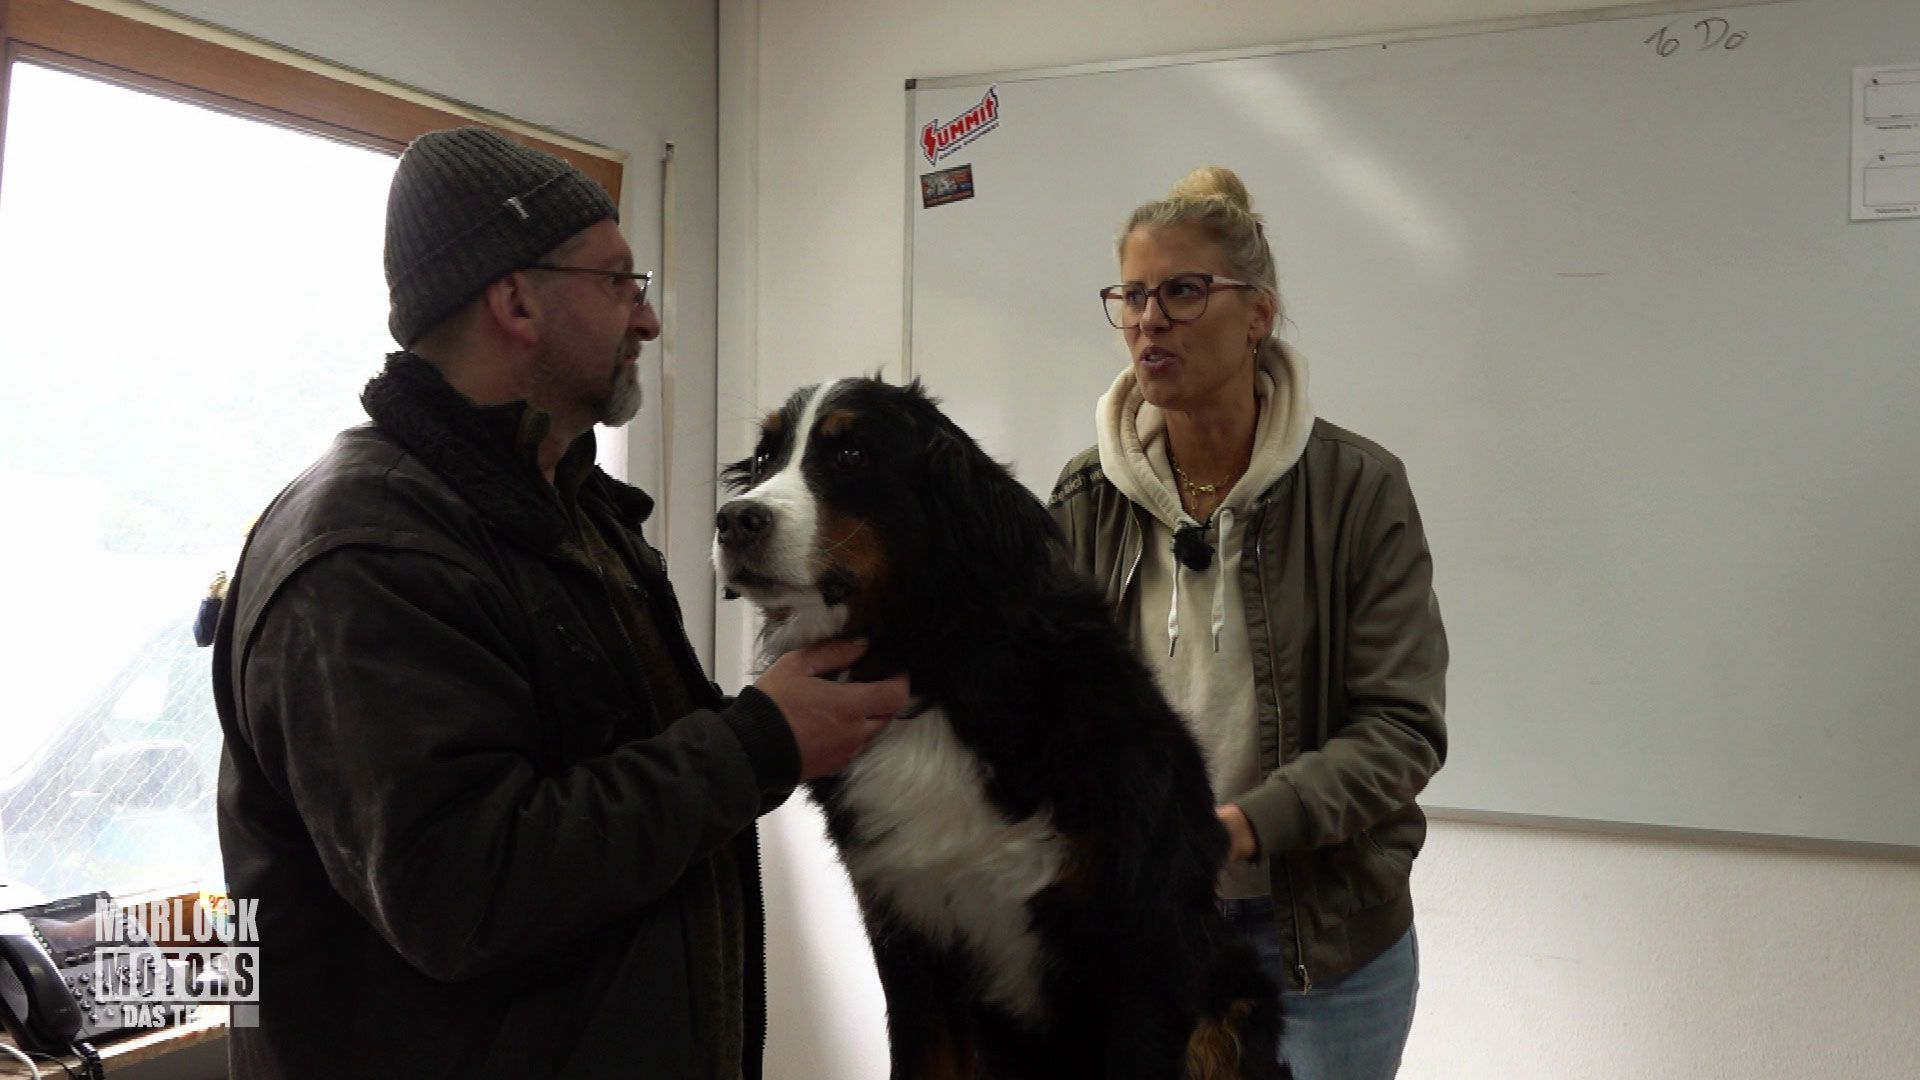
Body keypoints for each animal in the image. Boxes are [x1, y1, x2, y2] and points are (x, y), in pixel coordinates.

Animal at [714, 374, 1282, 1068]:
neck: (927, 667)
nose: (734, 520)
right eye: (764, 460)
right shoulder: (909, 938)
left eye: (850, 455)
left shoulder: (1131, 942)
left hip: (1232, 997)